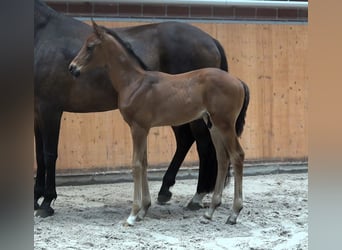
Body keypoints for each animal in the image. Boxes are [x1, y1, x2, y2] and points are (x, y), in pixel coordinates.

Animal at [34, 0, 230, 216]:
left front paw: (46, 203)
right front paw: (36, 199)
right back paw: (165, 191)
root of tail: (211, 40)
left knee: (203, 146)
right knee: (186, 141)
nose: (73, 68)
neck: (43, 34)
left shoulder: (50, 109)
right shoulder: (37, 110)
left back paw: (197, 197)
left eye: (90, 47)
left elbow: (49, 154)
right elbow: (39, 155)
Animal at [70, 20, 251, 226]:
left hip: (225, 125)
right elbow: (144, 163)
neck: (135, 82)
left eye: (90, 46)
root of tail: (239, 81)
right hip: (214, 125)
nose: (72, 67)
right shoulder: (144, 128)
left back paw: (233, 213)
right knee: (222, 158)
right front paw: (143, 210)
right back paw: (210, 212)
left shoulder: (138, 128)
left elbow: (136, 165)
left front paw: (133, 214)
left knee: (237, 155)